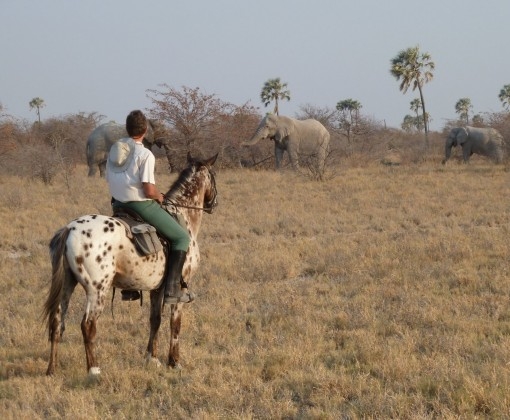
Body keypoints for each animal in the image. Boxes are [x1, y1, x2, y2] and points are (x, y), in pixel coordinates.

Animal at [43, 153, 217, 376]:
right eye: (213, 176)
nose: (213, 203)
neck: (183, 217)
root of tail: (70, 229)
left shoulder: (156, 289)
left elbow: (155, 320)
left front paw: (152, 358)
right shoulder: (179, 289)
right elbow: (175, 324)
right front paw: (174, 362)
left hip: (67, 284)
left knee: (57, 322)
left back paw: (52, 370)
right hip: (97, 290)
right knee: (88, 325)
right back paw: (94, 371)